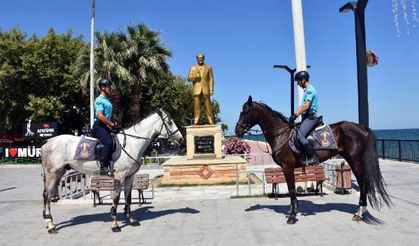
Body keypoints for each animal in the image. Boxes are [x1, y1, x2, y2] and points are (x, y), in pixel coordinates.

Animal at [41, 109, 185, 233]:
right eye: (170, 122)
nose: (182, 140)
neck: (132, 143)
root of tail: (47, 141)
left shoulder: (129, 177)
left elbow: (128, 198)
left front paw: (131, 219)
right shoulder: (119, 176)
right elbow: (116, 198)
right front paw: (115, 224)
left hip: (59, 173)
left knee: (47, 194)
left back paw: (50, 222)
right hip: (52, 174)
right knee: (47, 195)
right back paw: (50, 225)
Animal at [235, 96, 392, 225]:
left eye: (245, 112)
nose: (237, 131)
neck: (282, 136)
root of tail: (363, 128)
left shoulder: (287, 167)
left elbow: (292, 190)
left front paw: (292, 216)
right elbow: (292, 190)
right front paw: (292, 211)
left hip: (356, 162)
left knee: (363, 185)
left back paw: (359, 213)